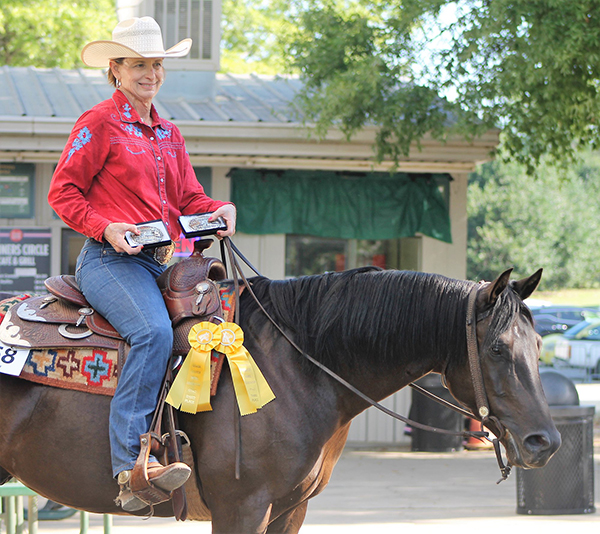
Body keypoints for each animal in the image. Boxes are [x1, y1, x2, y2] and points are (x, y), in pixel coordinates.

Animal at [0, 270, 560, 532]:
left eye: (538, 345)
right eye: (497, 348)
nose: (546, 443)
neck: (301, 365)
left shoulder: (290, 510)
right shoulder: (241, 510)